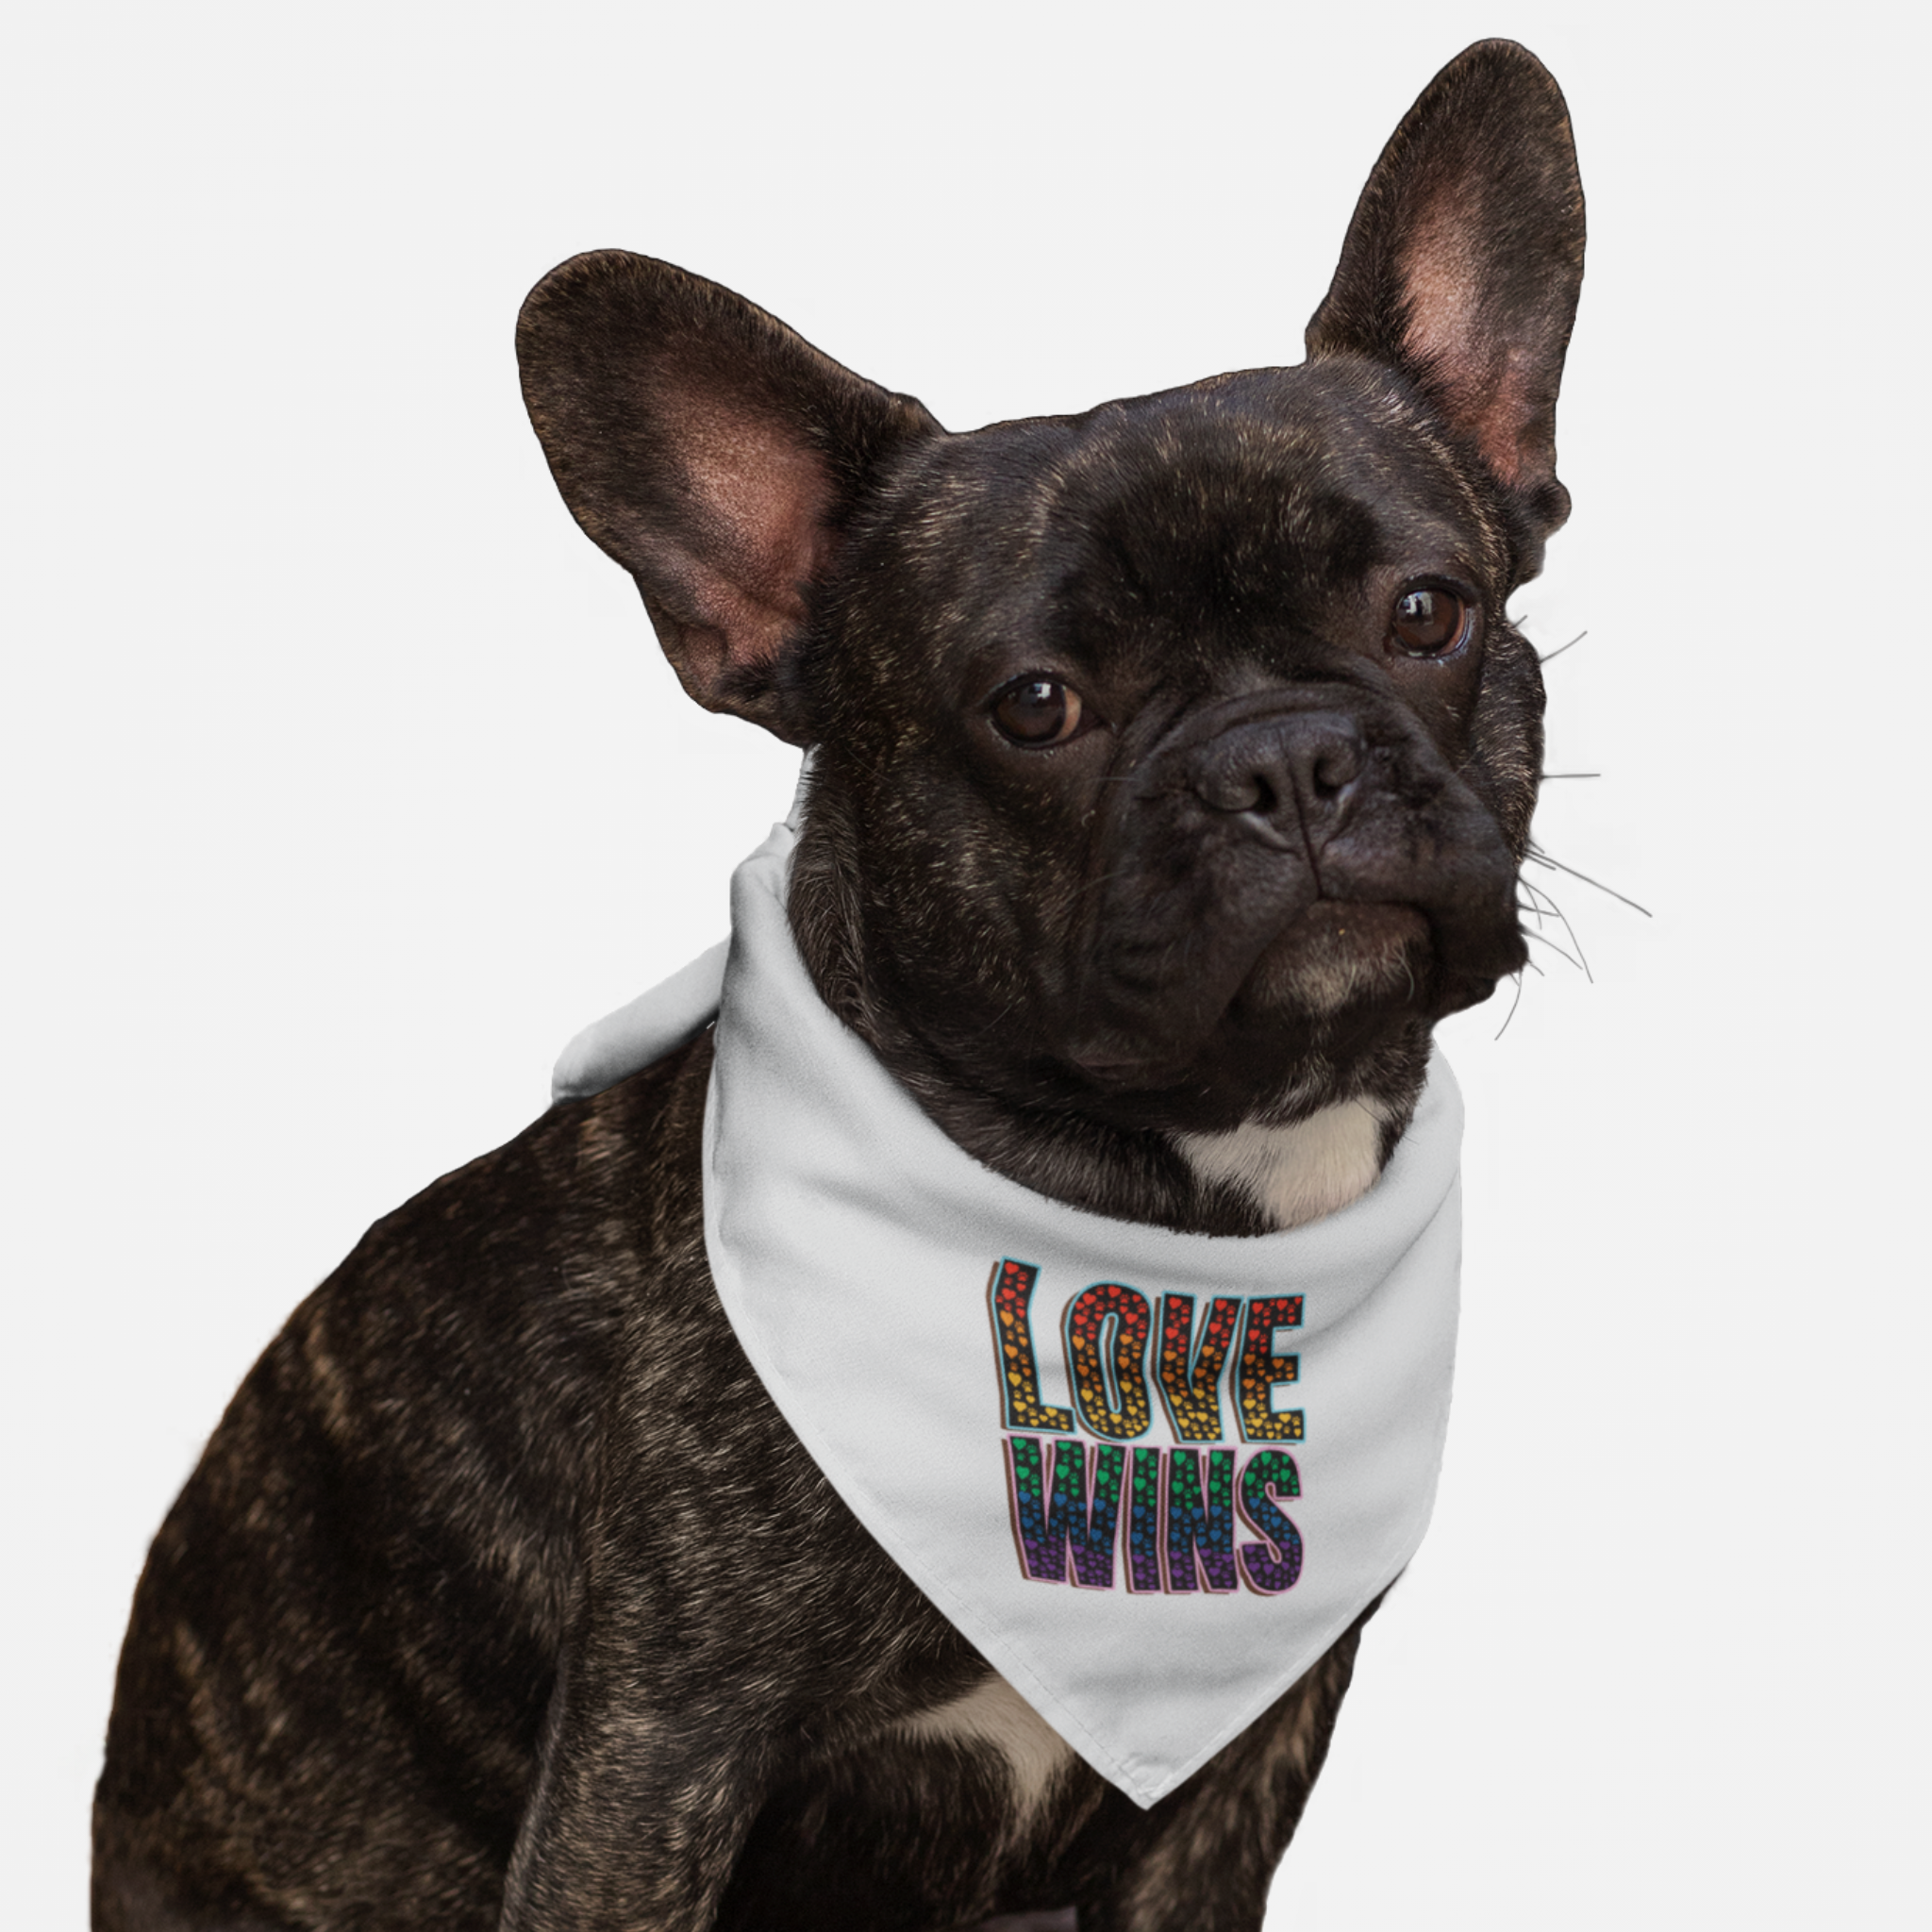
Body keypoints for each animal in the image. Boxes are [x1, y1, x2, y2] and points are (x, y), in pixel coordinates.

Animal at [93, 34, 1584, 1932]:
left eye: (1426, 610)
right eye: (1035, 705)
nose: (1286, 760)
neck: (1167, 1222)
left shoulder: (1233, 1779)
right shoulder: (655, 1753)